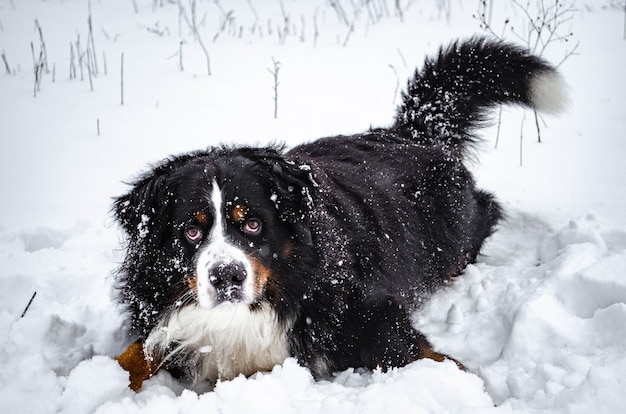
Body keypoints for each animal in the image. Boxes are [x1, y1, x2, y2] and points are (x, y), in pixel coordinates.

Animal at [113, 37, 564, 390]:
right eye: (192, 231)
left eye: (252, 224)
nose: (226, 277)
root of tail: (412, 132)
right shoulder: (168, 322)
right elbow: (133, 354)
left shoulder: (364, 311)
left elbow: (421, 355)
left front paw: (467, 387)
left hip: (451, 228)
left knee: (484, 215)